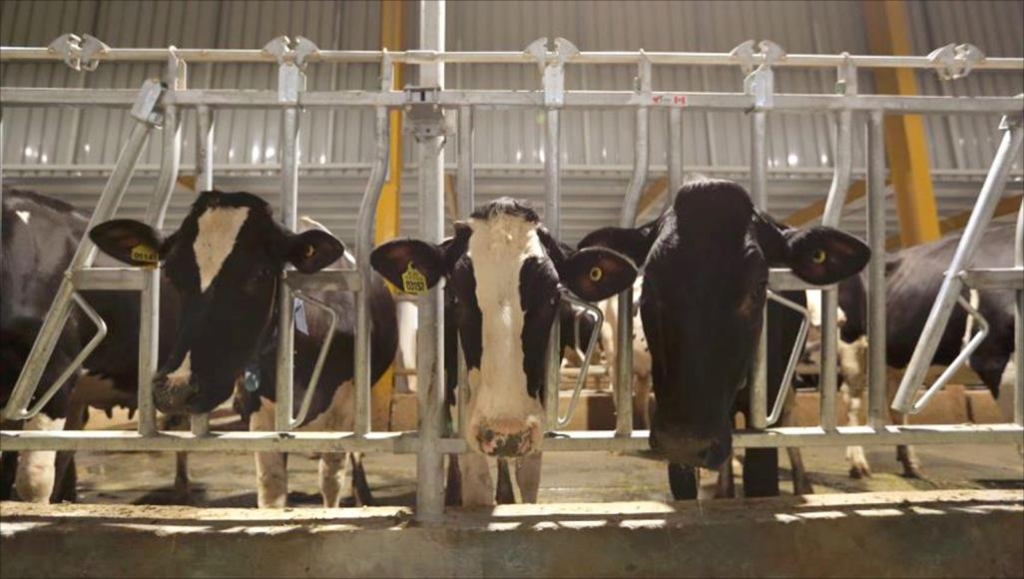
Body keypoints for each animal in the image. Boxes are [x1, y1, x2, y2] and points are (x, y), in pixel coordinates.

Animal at [87, 190, 398, 509]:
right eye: (172, 273)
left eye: (259, 273)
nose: (176, 388)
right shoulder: (259, 410)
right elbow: (271, 486)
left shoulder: (345, 407)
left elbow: (331, 480)